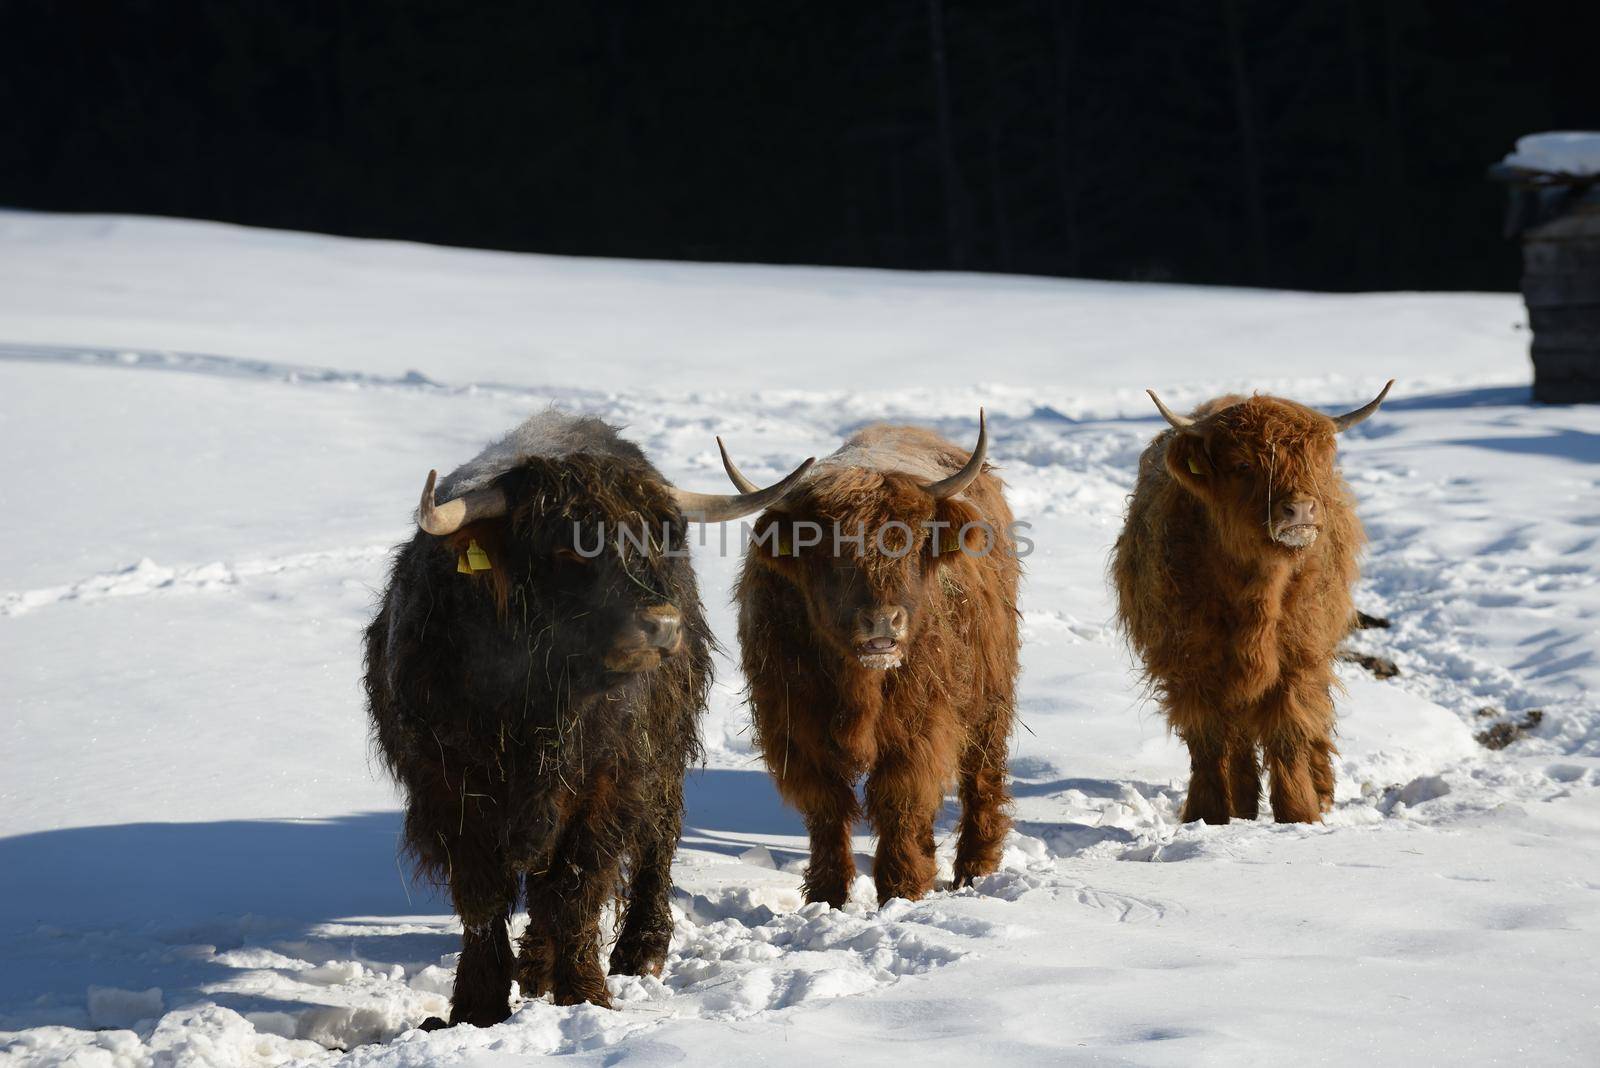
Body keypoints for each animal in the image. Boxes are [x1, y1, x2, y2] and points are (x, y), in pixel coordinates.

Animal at [364, 412, 812, 1023]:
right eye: (569, 548)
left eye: (659, 538)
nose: (661, 625)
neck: (538, 704)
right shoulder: (449, 788)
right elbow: (482, 898)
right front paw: (479, 1008)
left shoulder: (607, 783)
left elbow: (578, 887)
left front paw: (586, 996)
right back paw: (533, 968)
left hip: (663, 754)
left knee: (655, 841)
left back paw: (639, 951)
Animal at [729, 412, 1017, 908]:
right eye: (825, 548)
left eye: (913, 542)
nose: (883, 622)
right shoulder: (795, 729)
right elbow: (827, 805)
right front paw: (827, 895)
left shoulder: (919, 729)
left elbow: (899, 798)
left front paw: (901, 891)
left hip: (989, 695)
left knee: (981, 774)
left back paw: (974, 869)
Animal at [1107, 383, 1395, 824]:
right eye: (1242, 465)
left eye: (1316, 460)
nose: (1301, 509)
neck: (1257, 591)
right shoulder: (1188, 661)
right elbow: (1206, 739)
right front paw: (1207, 815)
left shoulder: (1299, 656)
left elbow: (1289, 730)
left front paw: (1299, 814)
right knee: (1238, 736)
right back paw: (1242, 805)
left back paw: (1319, 790)